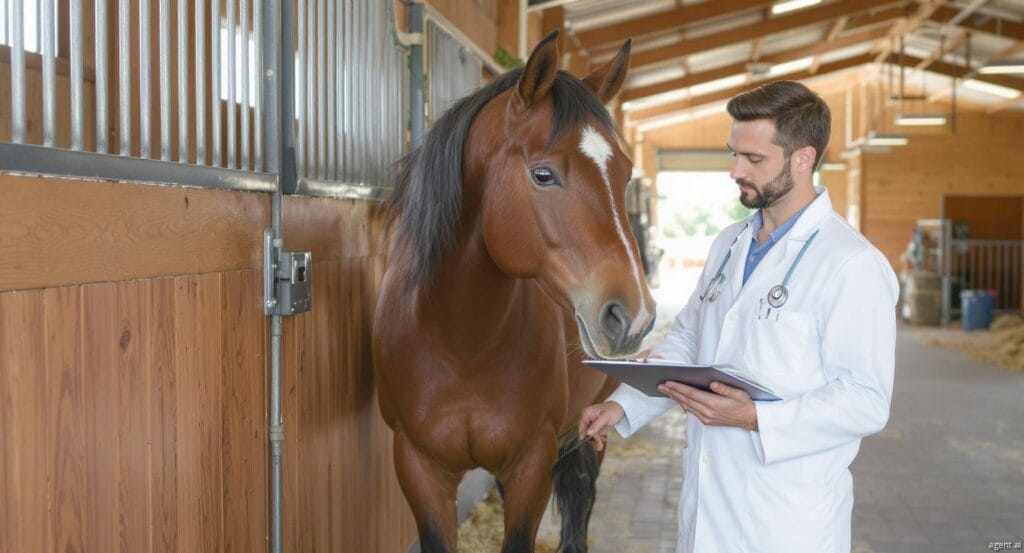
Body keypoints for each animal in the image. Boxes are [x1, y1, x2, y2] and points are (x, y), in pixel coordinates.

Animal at [373, 31, 655, 553]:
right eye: (543, 174)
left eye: (625, 175)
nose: (634, 317)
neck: (462, 344)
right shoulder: (418, 467)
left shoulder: (532, 465)